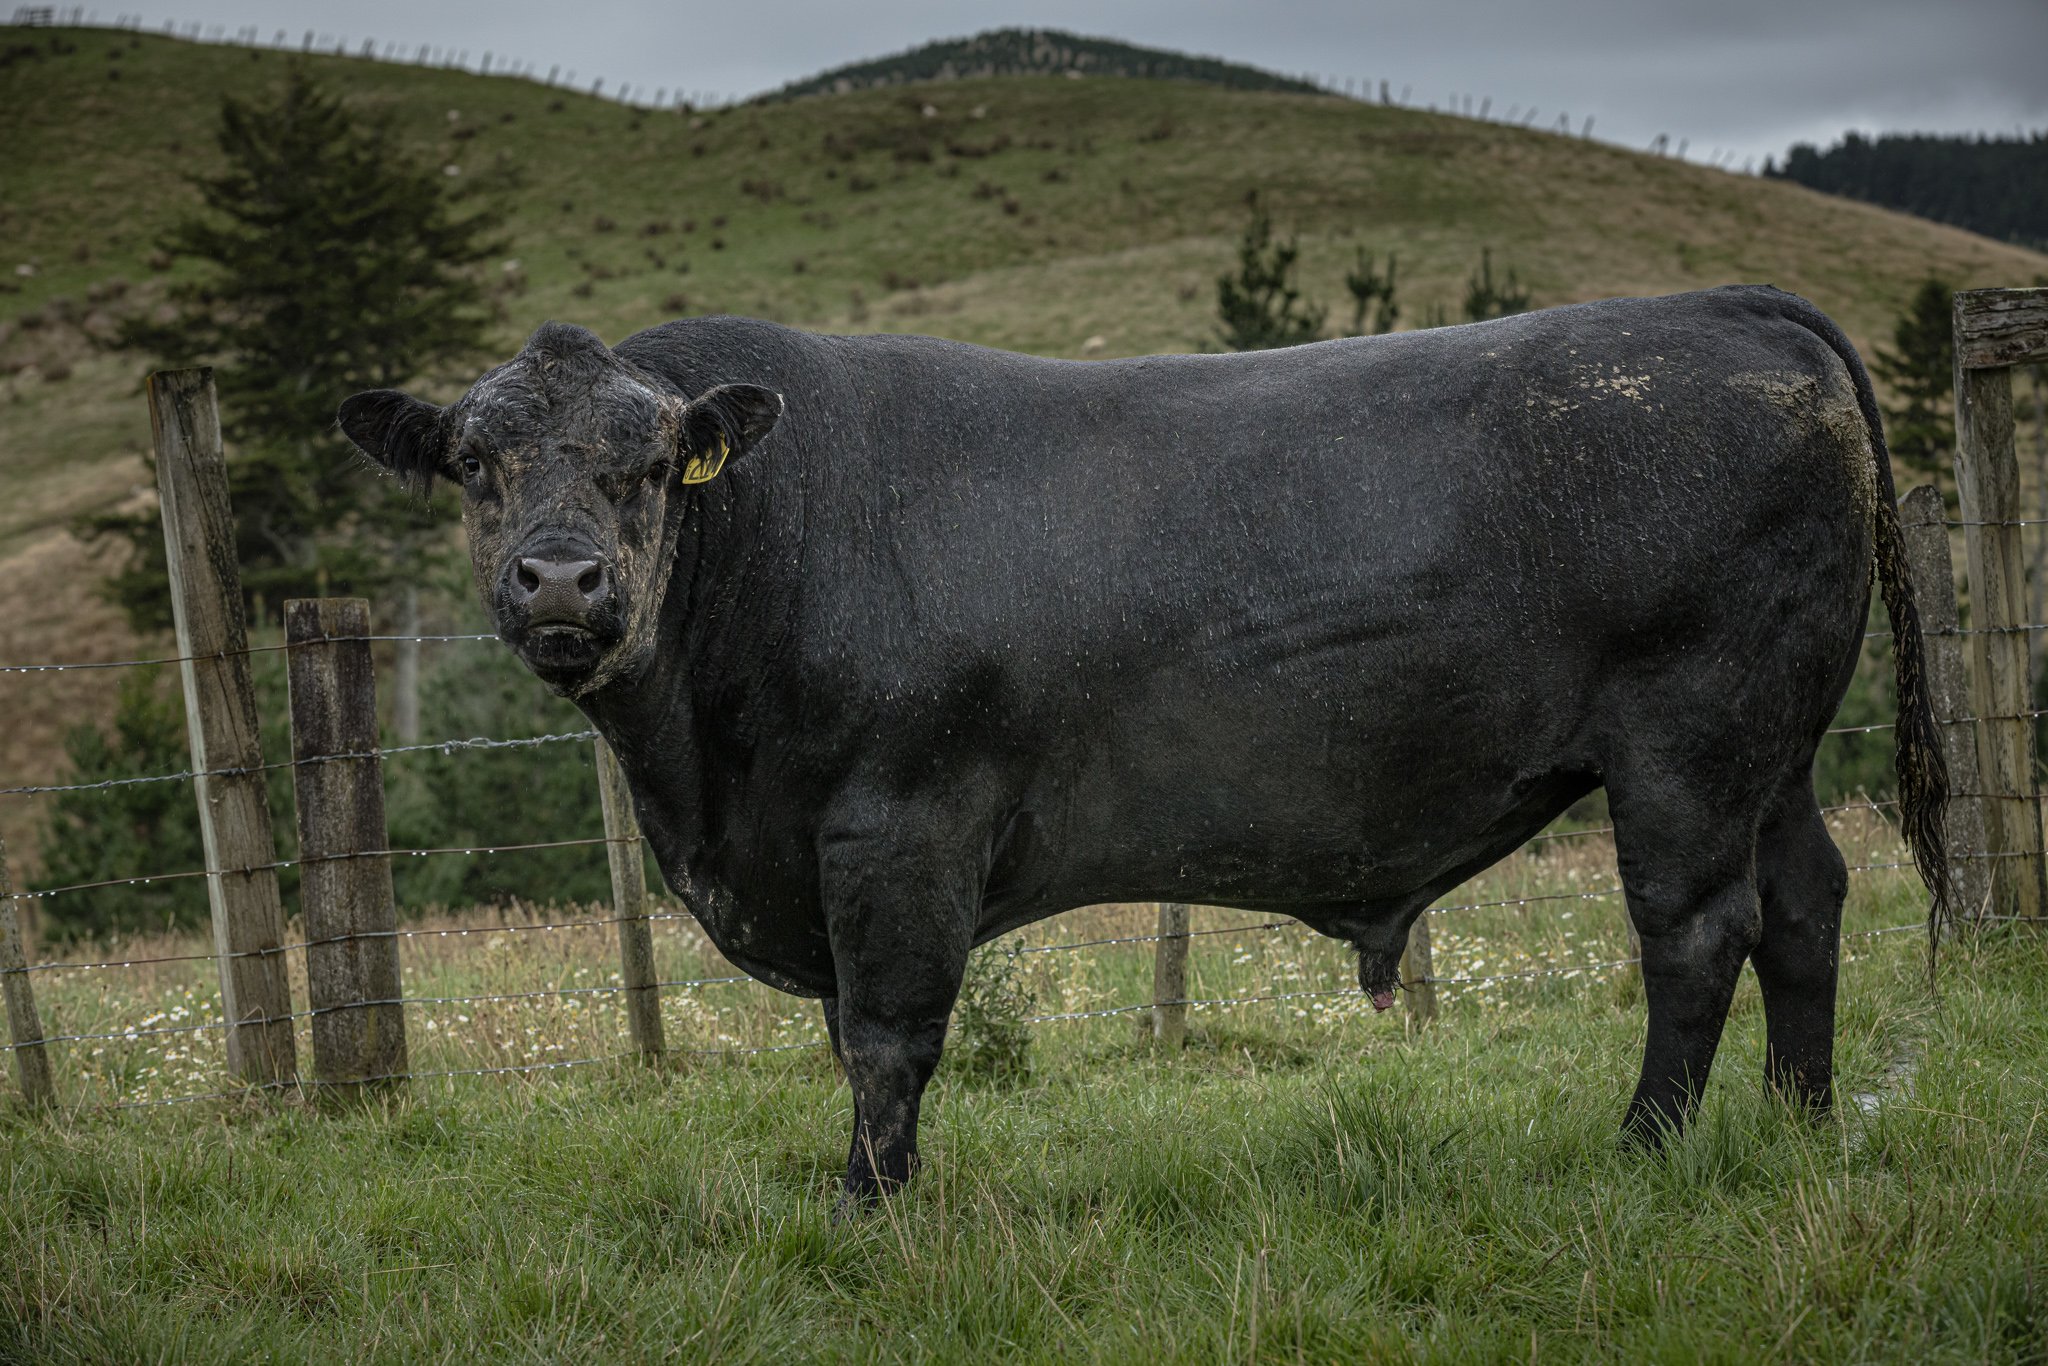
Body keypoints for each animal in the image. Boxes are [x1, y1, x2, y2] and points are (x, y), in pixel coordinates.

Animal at [338, 284, 1949, 1208]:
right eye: (476, 464)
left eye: (649, 464)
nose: (560, 582)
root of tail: (1728, 310)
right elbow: (855, 1037)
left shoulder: (895, 825)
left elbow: (885, 1033)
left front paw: (869, 1208)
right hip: (1771, 741)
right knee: (1805, 900)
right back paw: (1796, 1125)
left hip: (1689, 728)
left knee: (1697, 927)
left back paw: (1644, 1152)